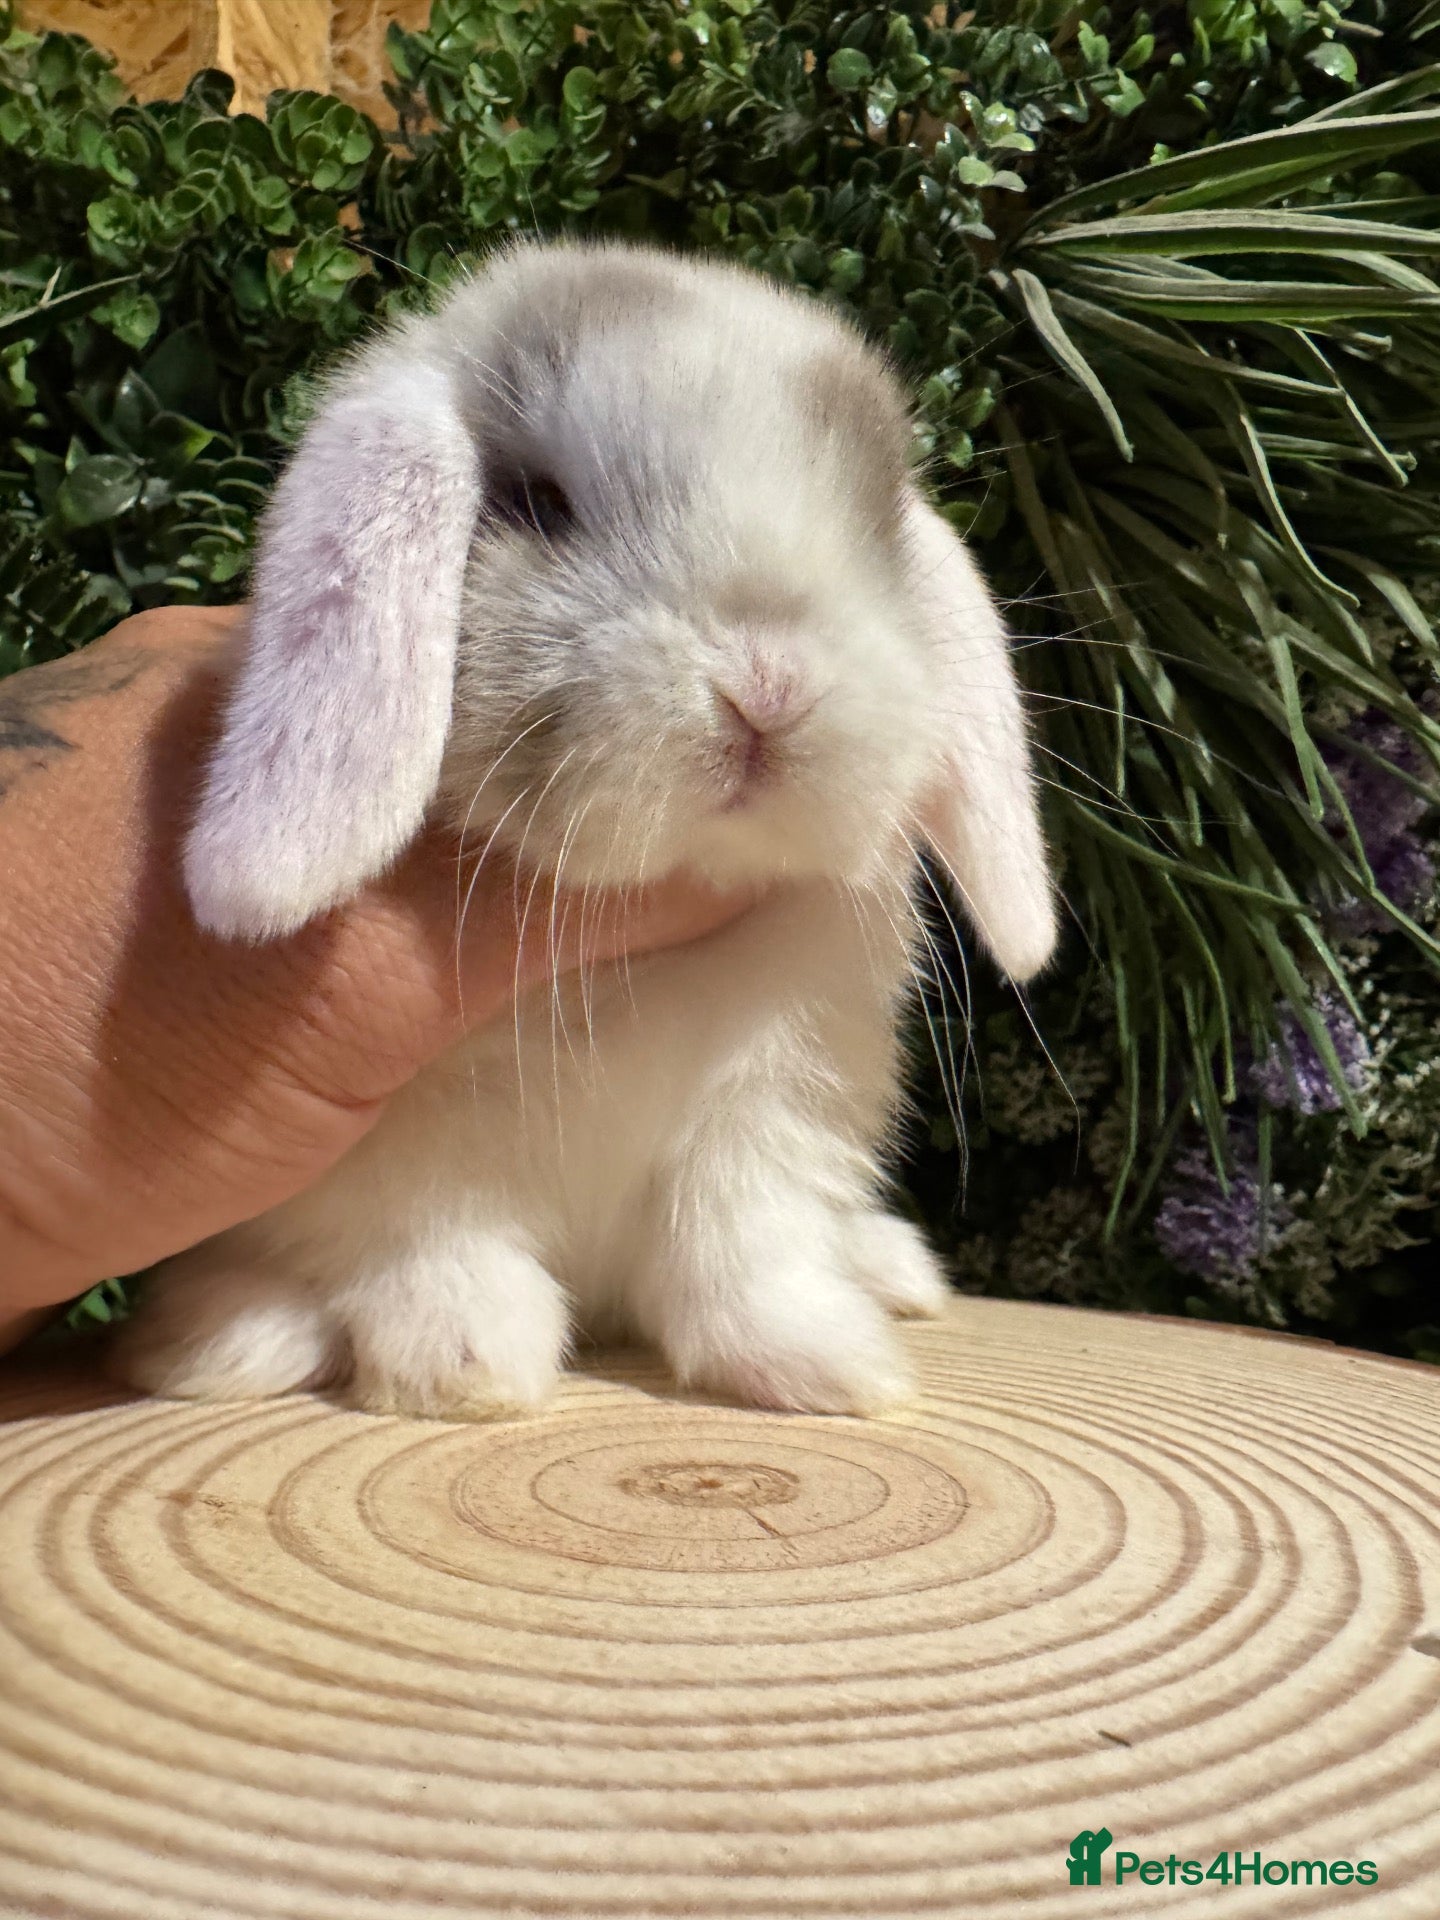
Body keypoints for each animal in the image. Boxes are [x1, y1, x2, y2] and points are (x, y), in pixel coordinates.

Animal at [111, 239, 1056, 1421]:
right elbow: (435, 1241)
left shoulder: (767, 1107)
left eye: (879, 524)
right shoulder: (398, 1148)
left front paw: (827, 1366)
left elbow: (743, 1249)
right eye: (540, 503)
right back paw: (224, 1341)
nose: (769, 686)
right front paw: (461, 1368)